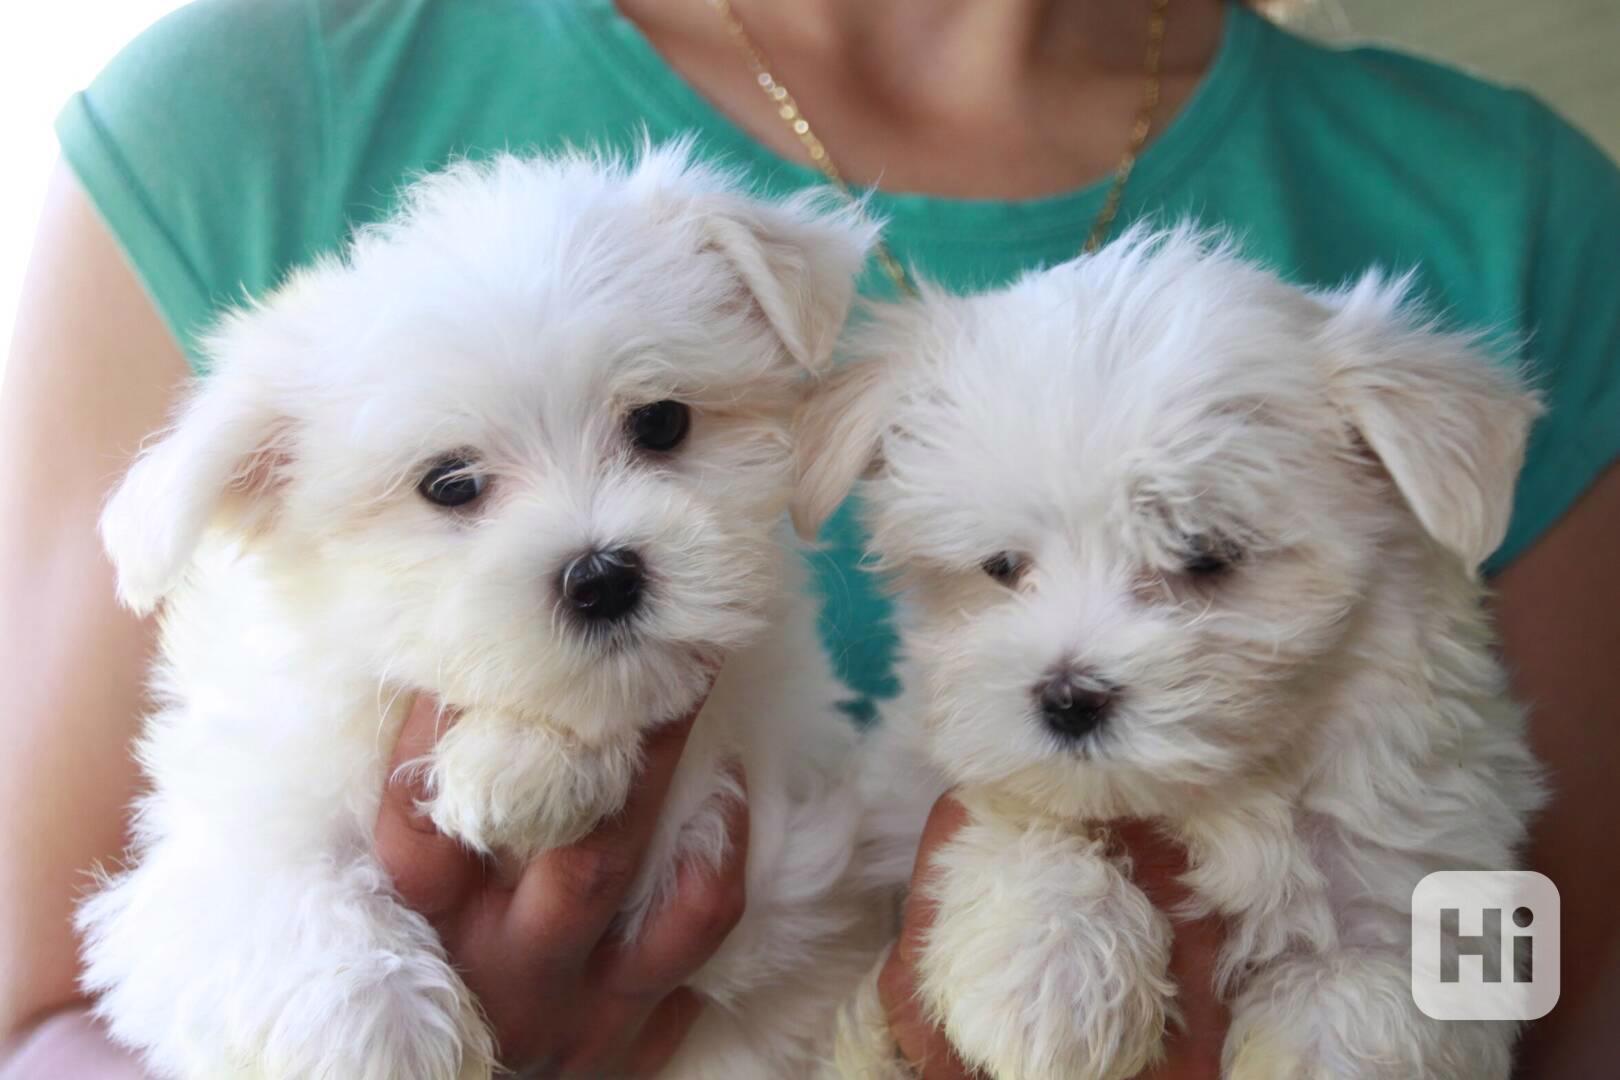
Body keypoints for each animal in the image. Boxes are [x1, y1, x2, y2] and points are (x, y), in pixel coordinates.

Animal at [77, 145, 887, 1080]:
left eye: (661, 422)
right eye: (450, 484)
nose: (603, 577)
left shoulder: (777, 839)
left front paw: (526, 763)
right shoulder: (212, 845)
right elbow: (266, 885)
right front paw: (375, 1029)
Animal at [797, 229, 1542, 1080]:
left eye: (1204, 554)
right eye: (1001, 566)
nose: (1068, 698)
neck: (1218, 799)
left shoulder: (1420, 883)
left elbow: (1367, 998)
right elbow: (1013, 807)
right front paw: (1050, 971)